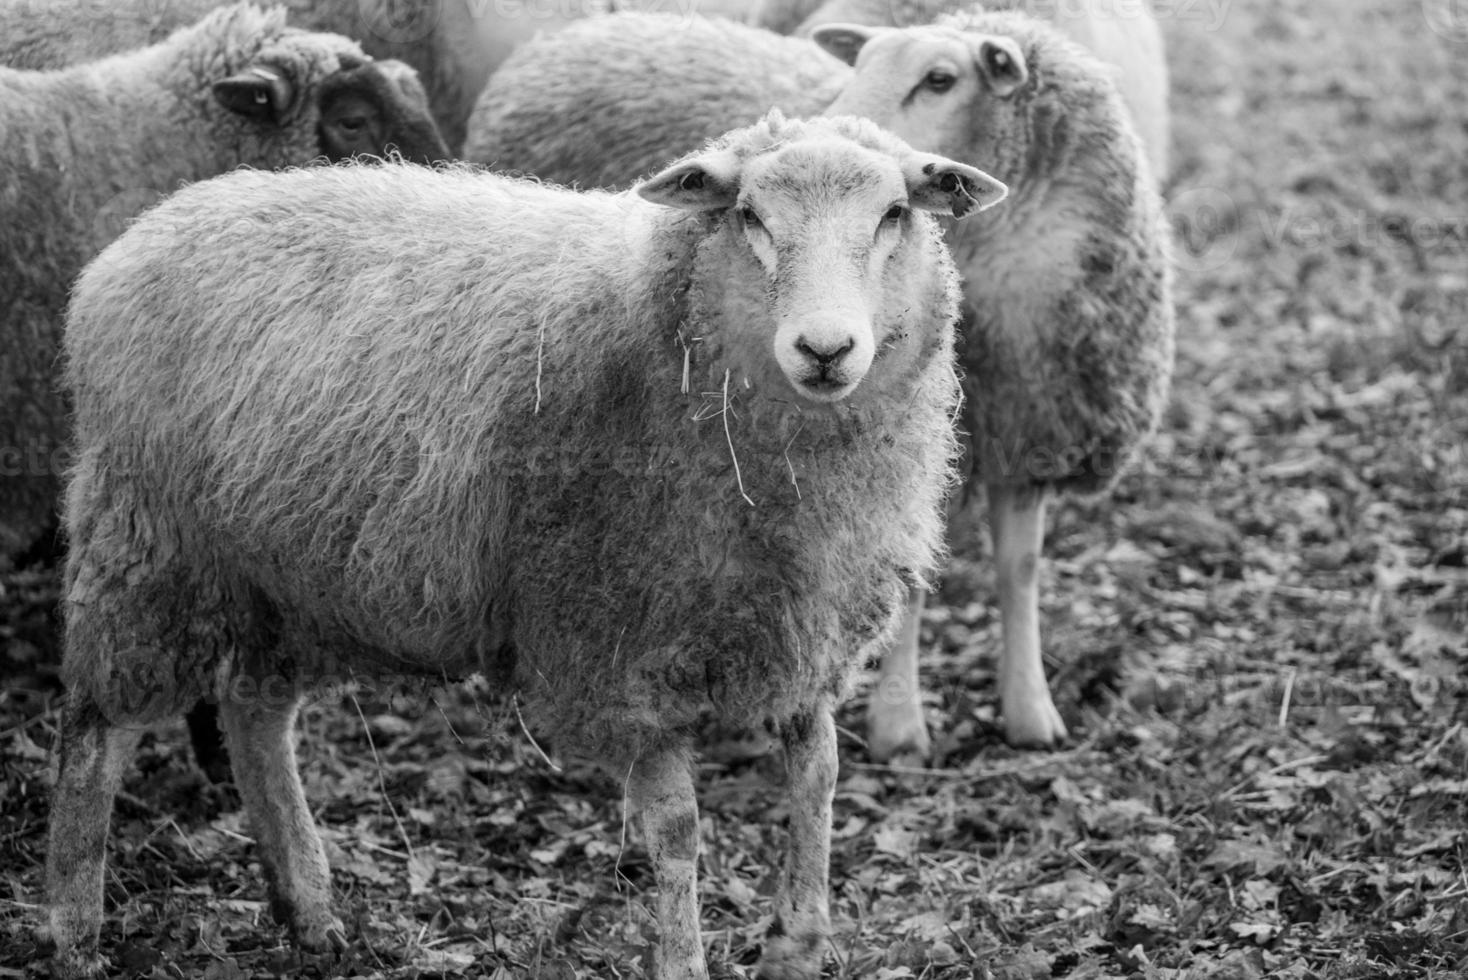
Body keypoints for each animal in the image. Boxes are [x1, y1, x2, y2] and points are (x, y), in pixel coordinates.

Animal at [45, 112, 1009, 979]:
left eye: (894, 215)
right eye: (749, 216)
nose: (826, 349)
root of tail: (151, 227)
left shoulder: (803, 629)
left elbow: (819, 779)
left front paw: (796, 947)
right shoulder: (620, 646)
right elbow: (677, 830)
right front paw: (683, 958)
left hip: (286, 572)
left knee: (253, 713)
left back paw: (310, 913)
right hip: (148, 543)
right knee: (96, 733)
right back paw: (73, 929)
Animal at [463, 9, 1174, 757]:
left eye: (940, 78)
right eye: (860, 63)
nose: (830, 126)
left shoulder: (1029, 423)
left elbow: (1021, 569)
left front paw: (1031, 710)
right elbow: (909, 583)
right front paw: (899, 724)